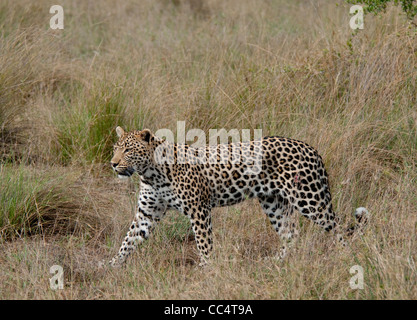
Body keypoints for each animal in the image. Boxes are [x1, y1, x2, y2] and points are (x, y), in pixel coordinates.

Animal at [107, 126, 368, 266]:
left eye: (128, 150)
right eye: (115, 149)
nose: (113, 164)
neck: (151, 173)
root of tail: (310, 148)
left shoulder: (199, 210)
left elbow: (204, 243)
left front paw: (207, 269)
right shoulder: (146, 213)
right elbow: (128, 240)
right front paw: (111, 266)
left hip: (310, 199)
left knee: (337, 228)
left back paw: (347, 256)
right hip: (274, 203)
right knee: (291, 234)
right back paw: (277, 262)